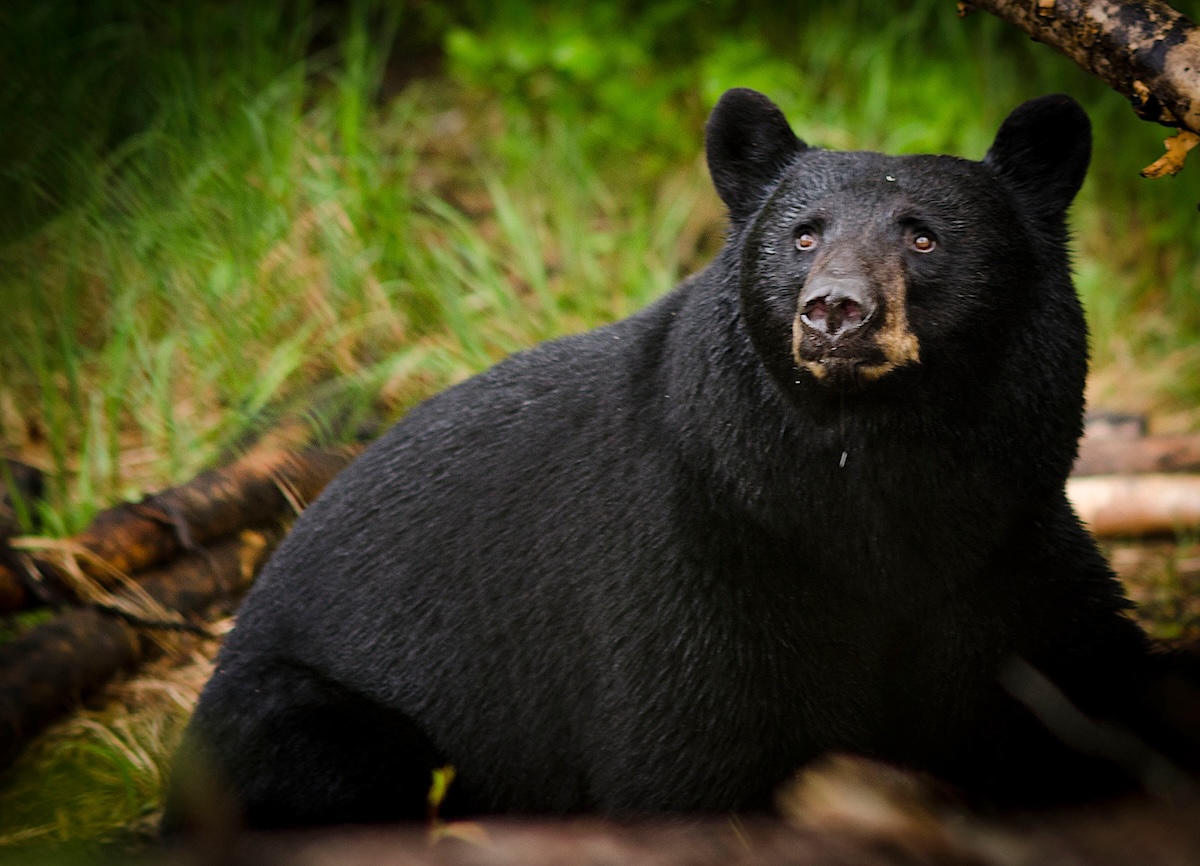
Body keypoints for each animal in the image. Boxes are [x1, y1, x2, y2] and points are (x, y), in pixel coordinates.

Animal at [165, 89, 1199, 832]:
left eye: (923, 235)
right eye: (803, 234)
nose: (835, 312)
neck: (868, 471)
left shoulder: (1007, 539)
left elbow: (1069, 676)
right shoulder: (696, 554)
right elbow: (694, 745)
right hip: (295, 717)